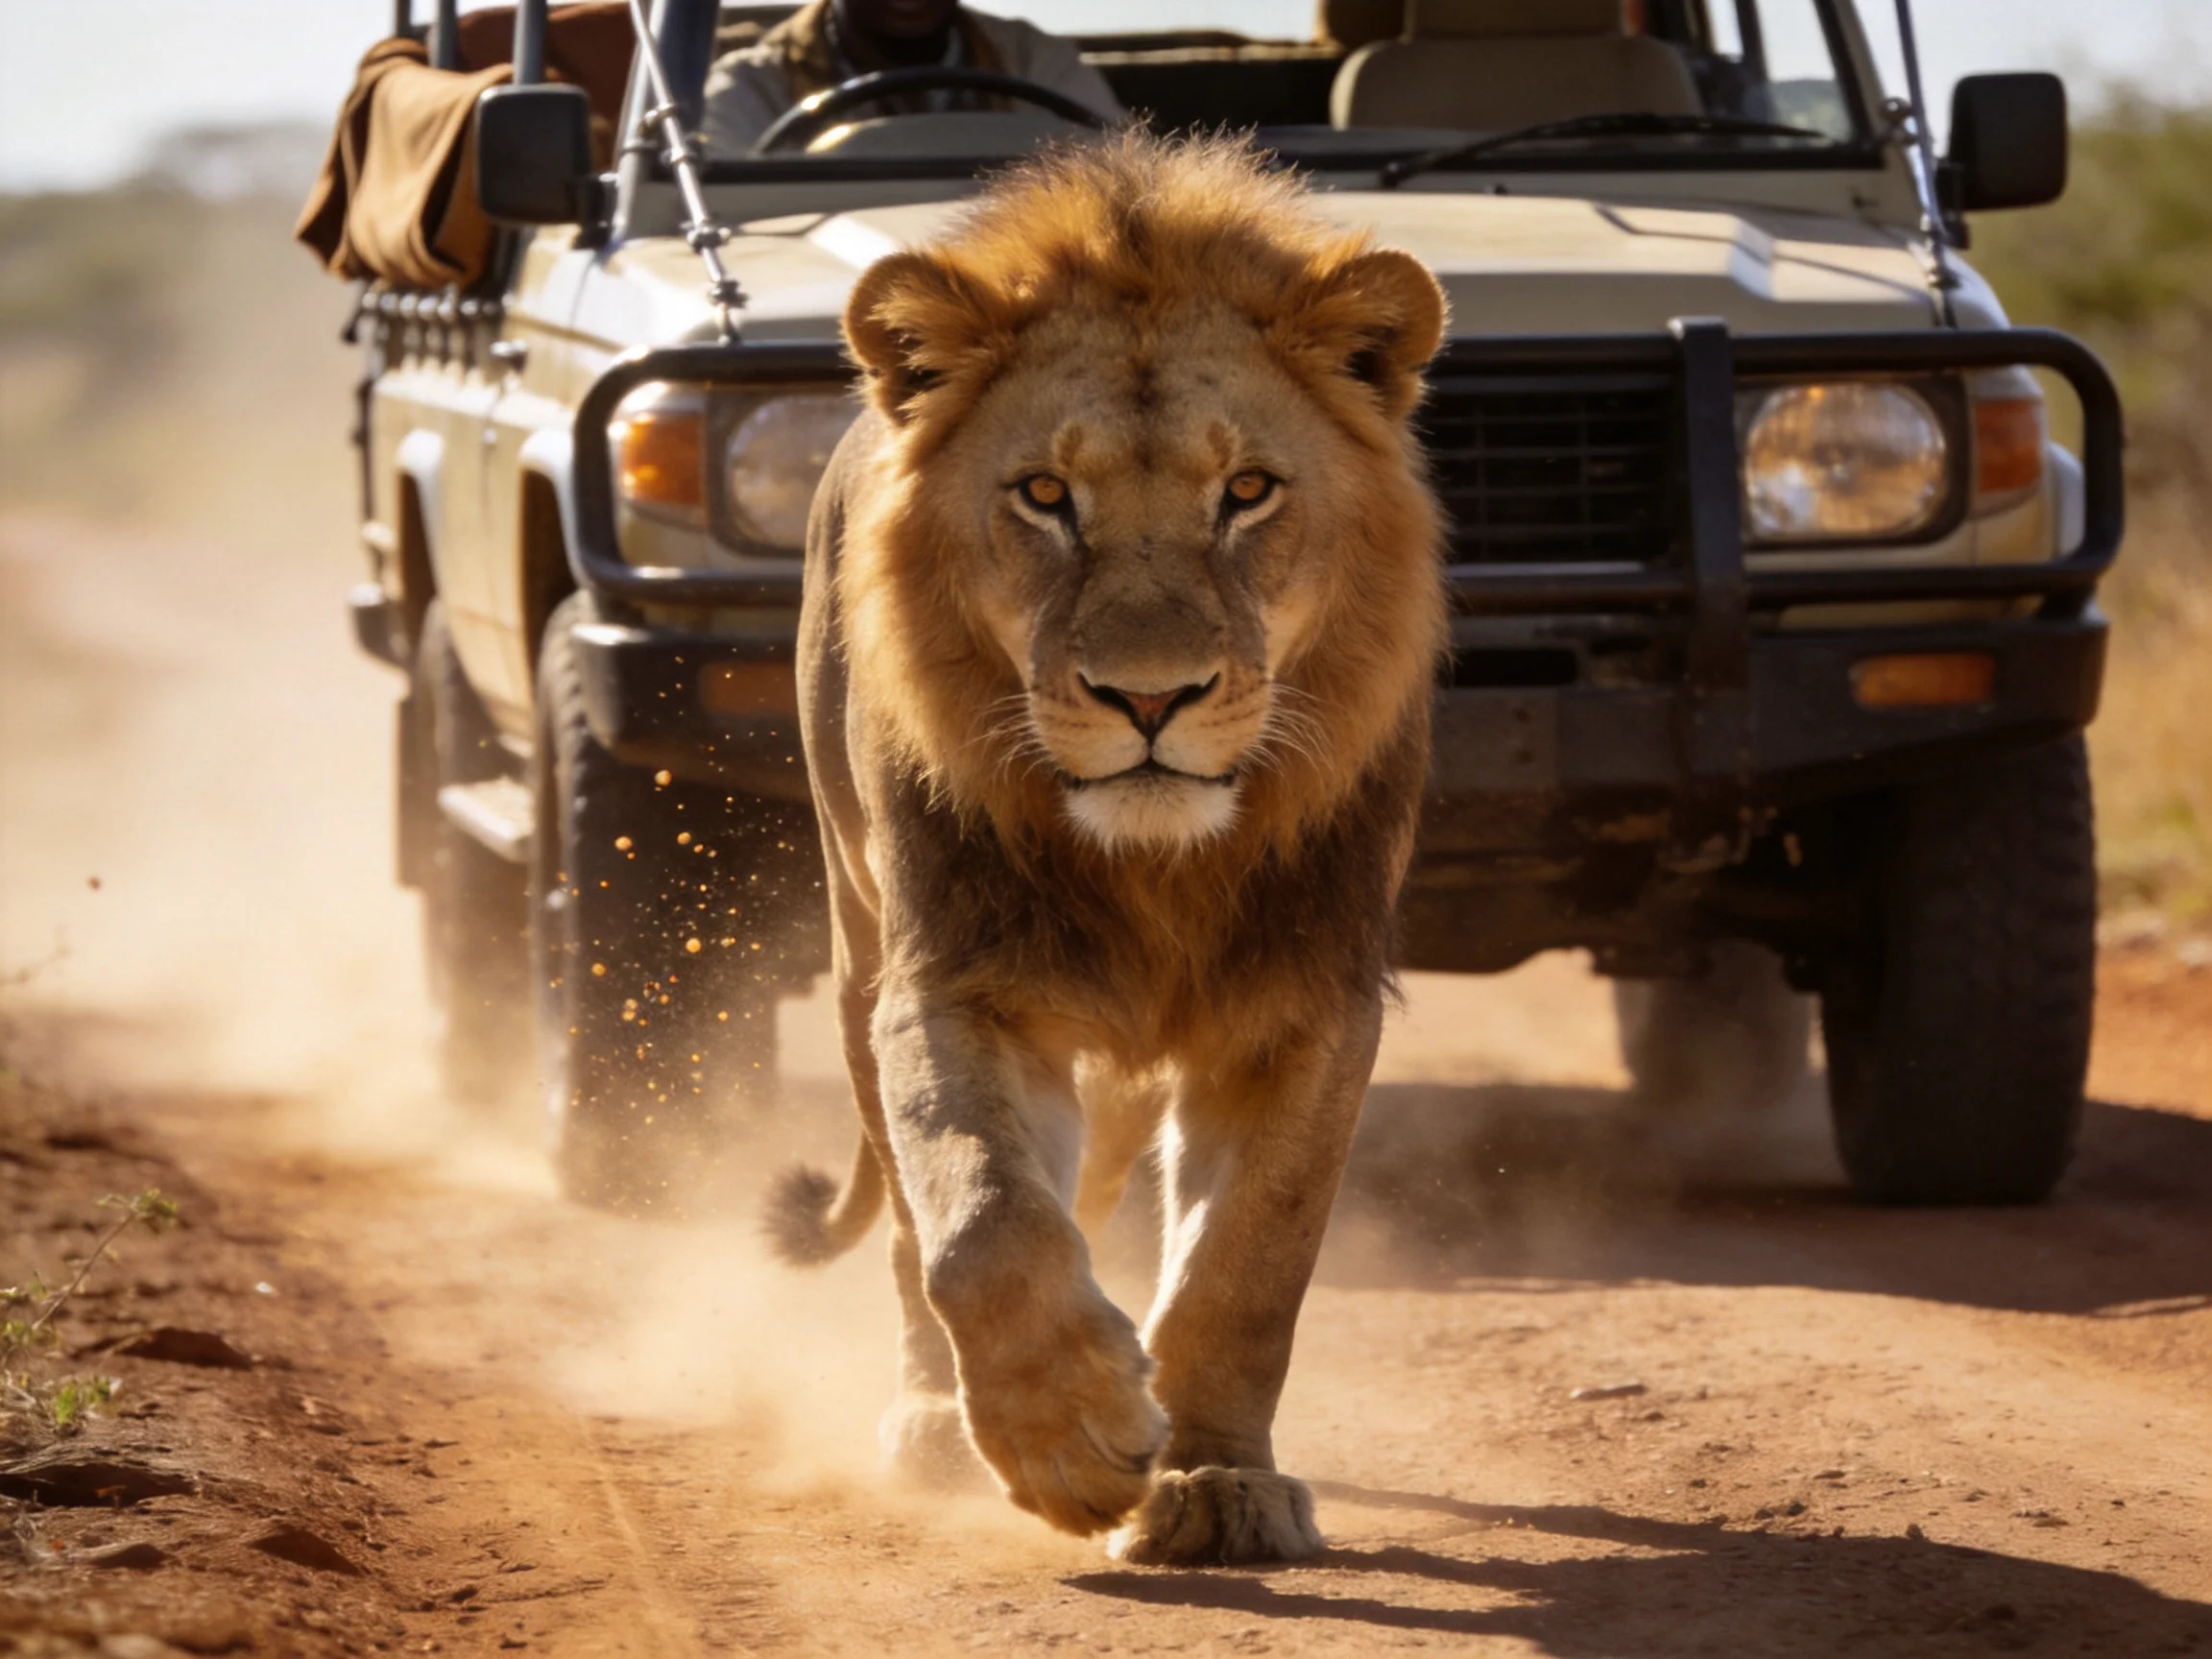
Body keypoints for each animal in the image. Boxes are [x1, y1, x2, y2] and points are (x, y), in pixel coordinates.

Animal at [772, 132, 1448, 1566]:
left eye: (1246, 492)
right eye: (1044, 496)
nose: (1150, 698)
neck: (1156, 870)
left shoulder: (1308, 1001)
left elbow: (1249, 1263)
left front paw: (1216, 1480)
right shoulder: (948, 980)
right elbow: (978, 1211)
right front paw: (1068, 1436)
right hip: (857, 946)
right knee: (915, 1226)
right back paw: (938, 1421)